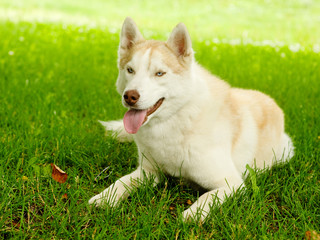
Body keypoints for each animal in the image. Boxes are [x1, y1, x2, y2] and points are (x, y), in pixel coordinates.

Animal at [89, 17, 294, 222]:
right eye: (130, 70)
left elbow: (207, 197)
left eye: (159, 73)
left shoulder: (232, 184)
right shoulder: (149, 171)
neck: (175, 120)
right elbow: (121, 181)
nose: (129, 96)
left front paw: (191, 216)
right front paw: (105, 198)